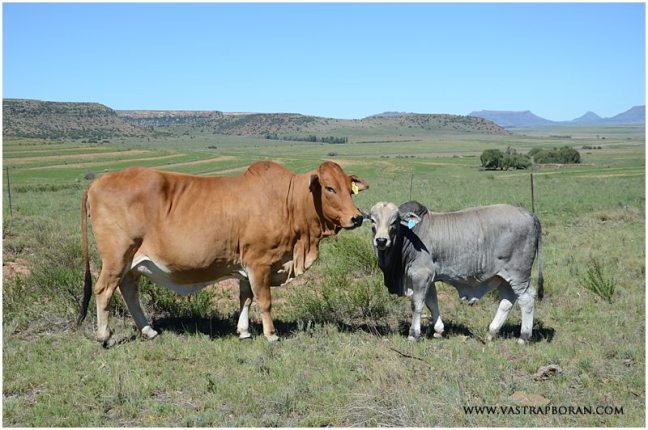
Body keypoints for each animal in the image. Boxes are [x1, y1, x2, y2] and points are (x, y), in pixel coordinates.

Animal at [77, 161, 369, 346]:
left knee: (129, 291)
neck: (288, 203)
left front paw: (244, 331)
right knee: (104, 291)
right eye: (329, 188)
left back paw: (148, 331)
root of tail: (98, 181)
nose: (356, 217)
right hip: (117, 257)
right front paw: (271, 334)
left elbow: (245, 298)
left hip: (132, 263)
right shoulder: (259, 263)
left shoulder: (246, 267)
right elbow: (264, 300)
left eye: (349, 187)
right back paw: (104, 336)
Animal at [368, 201, 543, 344]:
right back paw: (491, 332)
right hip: (505, 276)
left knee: (527, 298)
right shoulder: (430, 278)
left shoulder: (421, 275)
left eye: (394, 221)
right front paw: (438, 330)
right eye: (372, 221)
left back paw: (524, 337)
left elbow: (417, 304)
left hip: (518, 274)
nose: (381, 240)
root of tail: (529, 214)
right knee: (507, 300)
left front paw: (413, 334)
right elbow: (432, 302)